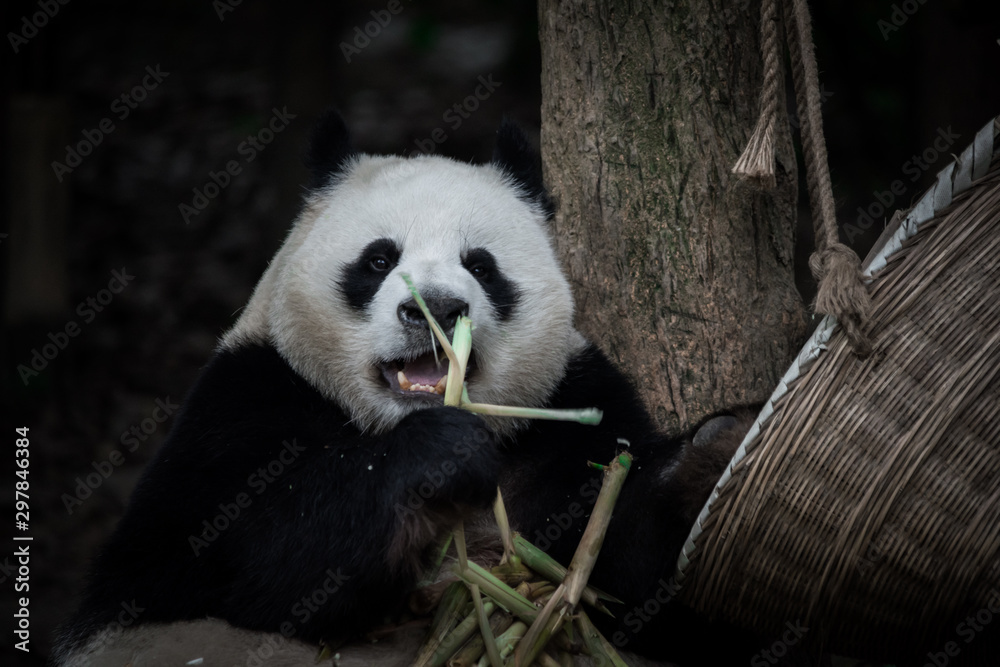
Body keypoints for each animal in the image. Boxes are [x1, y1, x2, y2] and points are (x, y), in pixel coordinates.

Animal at [55, 111, 759, 666]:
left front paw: (714, 456)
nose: (437, 308)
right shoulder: (244, 400)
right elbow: (237, 553)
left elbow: (634, 580)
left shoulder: (564, 411)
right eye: (378, 259)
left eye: (481, 265)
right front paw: (437, 457)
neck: (388, 418)